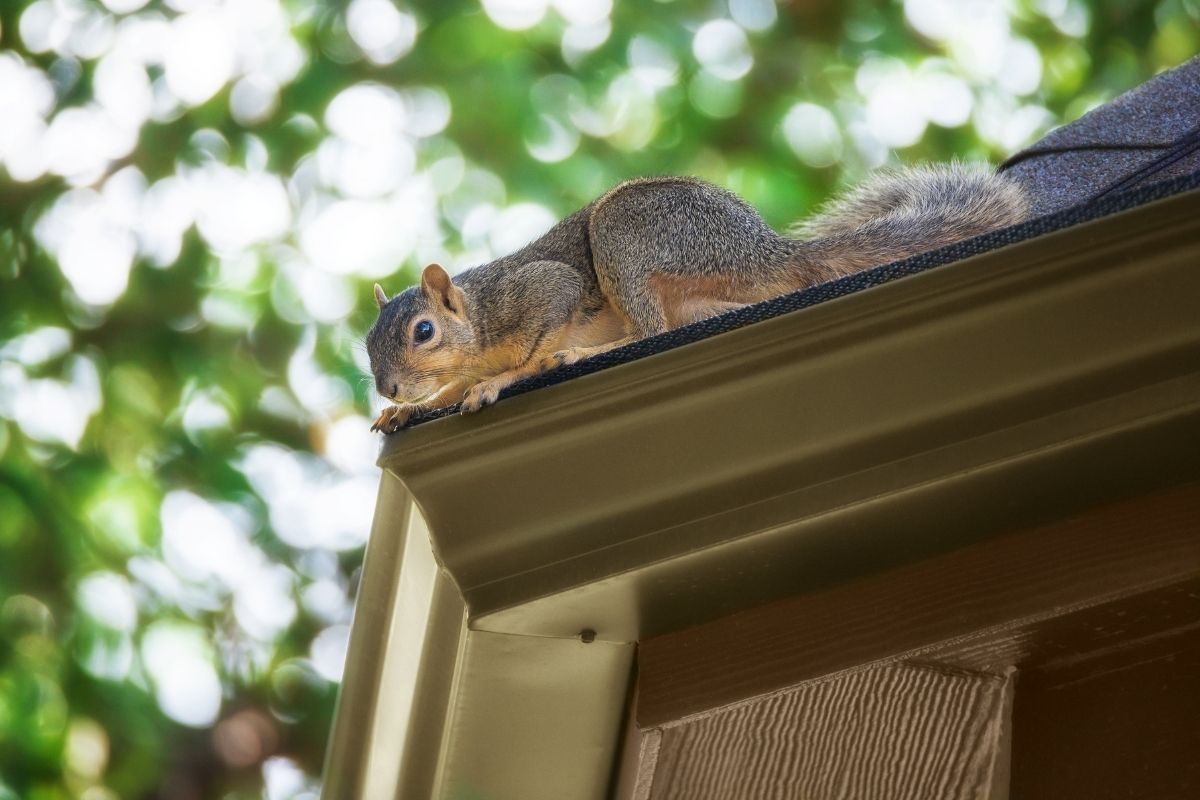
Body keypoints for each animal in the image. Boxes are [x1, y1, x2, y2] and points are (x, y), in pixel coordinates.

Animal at [367, 165, 1028, 433]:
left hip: (629, 232)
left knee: (651, 330)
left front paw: (503, 380)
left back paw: (582, 354)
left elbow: (532, 344)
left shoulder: (541, 292)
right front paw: (407, 412)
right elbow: (445, 392)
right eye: (368, 346)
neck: (478, 319)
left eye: (423, 331)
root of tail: (768, 252)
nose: (389, 387)